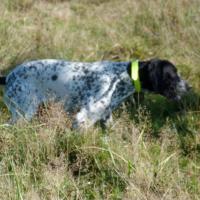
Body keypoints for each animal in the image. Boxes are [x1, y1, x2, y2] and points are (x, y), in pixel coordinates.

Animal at [0, 58, 189, 129]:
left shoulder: (106, 117)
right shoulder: (82, 118)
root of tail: (8, 76)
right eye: (173, 75)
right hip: (23, 113)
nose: (189, 87)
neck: (122, 76)